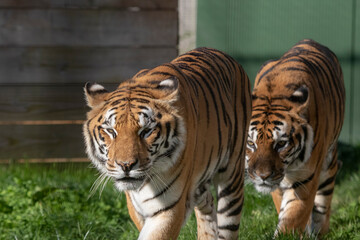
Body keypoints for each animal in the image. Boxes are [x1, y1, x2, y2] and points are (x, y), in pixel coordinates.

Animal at [83, 47, 252, 240]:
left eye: (146, 131)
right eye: (111, 131)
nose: (126, 166)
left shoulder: (169, 207)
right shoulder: (135, 206)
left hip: (232, 177)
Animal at [246, 38, 344, 235]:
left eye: (281, 144)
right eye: (251, 143)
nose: (262, 176)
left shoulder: (305, 177)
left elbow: (294, 215)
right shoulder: (278, 183)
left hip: (328, 164)